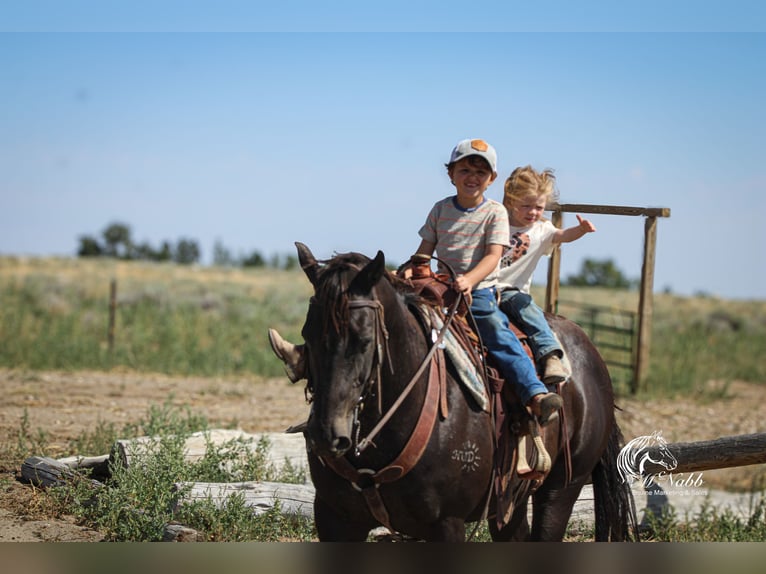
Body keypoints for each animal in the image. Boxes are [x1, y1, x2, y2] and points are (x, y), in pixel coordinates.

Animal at [275, 242, 636, 541]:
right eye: (308, 335)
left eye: (363, 340)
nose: (326, 435)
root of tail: (592, 356)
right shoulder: (334, 519)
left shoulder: (447, 524)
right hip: (511, 501)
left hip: (561, 489)